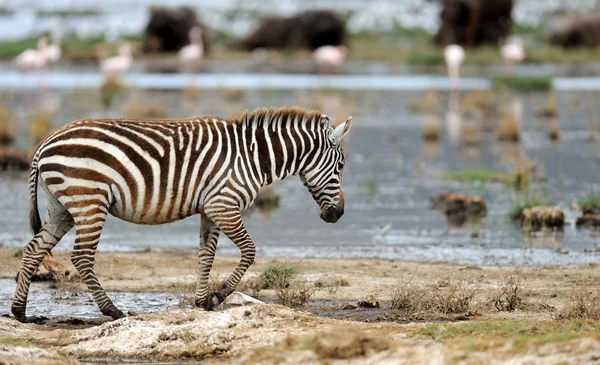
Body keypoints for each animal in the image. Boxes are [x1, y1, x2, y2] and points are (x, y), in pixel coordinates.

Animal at [11, 106, 352, 322]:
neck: (254, 157)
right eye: (340, 167)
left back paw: (20, 312)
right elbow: (249, 251)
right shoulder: (224, 205)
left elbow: (206, 255)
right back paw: (112, 311)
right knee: (81, 257)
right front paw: (218, 296)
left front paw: (202, 302)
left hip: (62, 208)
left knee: (33, 250)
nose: (338, 214)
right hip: (89, 201)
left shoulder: (211, 209)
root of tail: (45, 143)